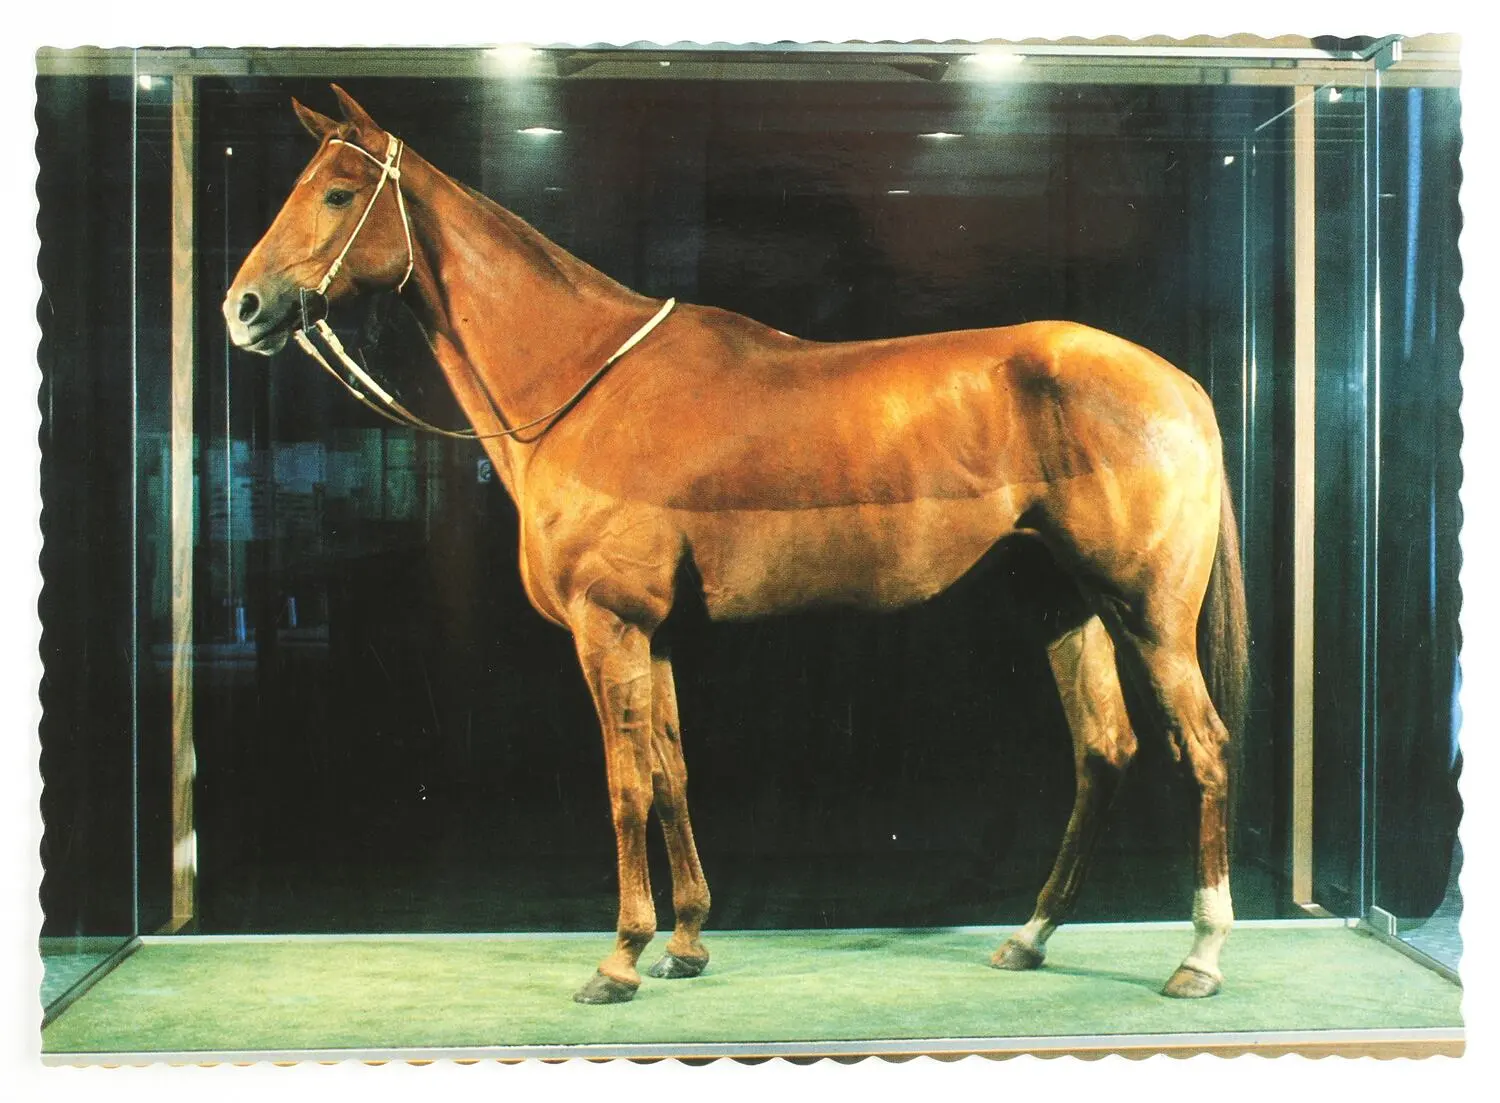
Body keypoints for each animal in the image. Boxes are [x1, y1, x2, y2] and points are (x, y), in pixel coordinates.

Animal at [225, 84, 1254, 1002]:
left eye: (337, 192)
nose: (244, 307)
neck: (584, 384)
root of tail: (1182, 386)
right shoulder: (656, 634)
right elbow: (671, 771)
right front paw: (685, 943)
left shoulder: (609, 627)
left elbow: (624, 784)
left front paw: (619, 957)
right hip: (1061, 604)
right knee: (1103, 750)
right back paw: (1030, 936)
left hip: (1149, 614)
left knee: (1203, 746)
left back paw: (1202, 956)